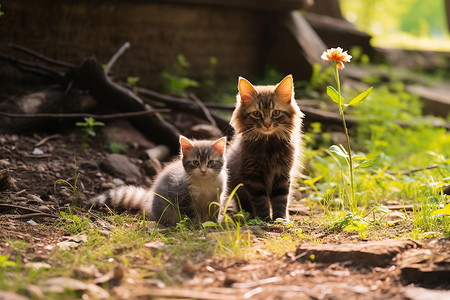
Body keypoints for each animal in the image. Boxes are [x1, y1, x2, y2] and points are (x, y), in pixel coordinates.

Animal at [89, 135, 229, 225]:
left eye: (210, 162)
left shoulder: (217, 196)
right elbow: (191, 214)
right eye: (195, 163)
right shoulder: (182, 196)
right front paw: (196, 225)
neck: (204, 183)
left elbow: (214, 211)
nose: (203, 171)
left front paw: (214, 224)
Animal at [221, 75, 302, 220]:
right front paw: (264, 219)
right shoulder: (253, 176)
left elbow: (281, 199)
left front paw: (281, 219)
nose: (267, 124)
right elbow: (261, 201)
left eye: (276, 113)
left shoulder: (283, 174)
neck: (268, 145)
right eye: (257, 114)